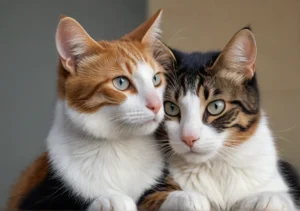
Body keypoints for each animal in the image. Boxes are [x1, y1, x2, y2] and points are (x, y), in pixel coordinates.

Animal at [6, 9, 176, 211]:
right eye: (121, 82)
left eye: (156, 79)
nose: (156, 105)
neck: (118, 144)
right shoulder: (36, 195)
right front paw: (112, 199)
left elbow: (159, 195)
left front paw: (187, 197)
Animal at [139, 27, 298, 210]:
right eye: (170, 108)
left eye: (216, 106)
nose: (189, 138)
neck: (215, 166)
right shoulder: (147, 192)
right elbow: (156, 197)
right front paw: (191, 198)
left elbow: (280, 197)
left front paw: (267, 199)